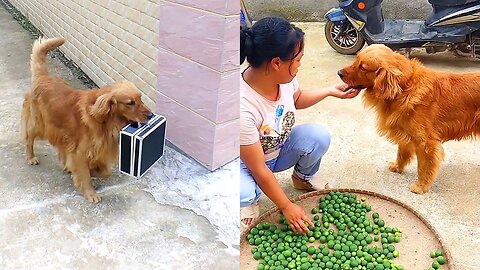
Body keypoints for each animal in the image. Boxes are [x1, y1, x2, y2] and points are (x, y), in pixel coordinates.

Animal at [21, 37, 150, 202]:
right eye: (130, 103)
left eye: (140, 98)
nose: (150, 115)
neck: (105, 121)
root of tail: (43, 77)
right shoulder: (80, 152)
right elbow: (85, 175)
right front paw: (91, 193)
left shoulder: (99, 148)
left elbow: (105, 172)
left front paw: (91, 171)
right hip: (38, 123)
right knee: (29, 139)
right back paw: (31, 157)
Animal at [338, 45, 480, 195]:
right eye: (356, 59)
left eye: (363, 67)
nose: (339, 73)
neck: (404, 87)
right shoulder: (405, 132)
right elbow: (401, 153)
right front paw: (397, 167)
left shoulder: (425, 143)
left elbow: (423, 167)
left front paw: (421, 186)